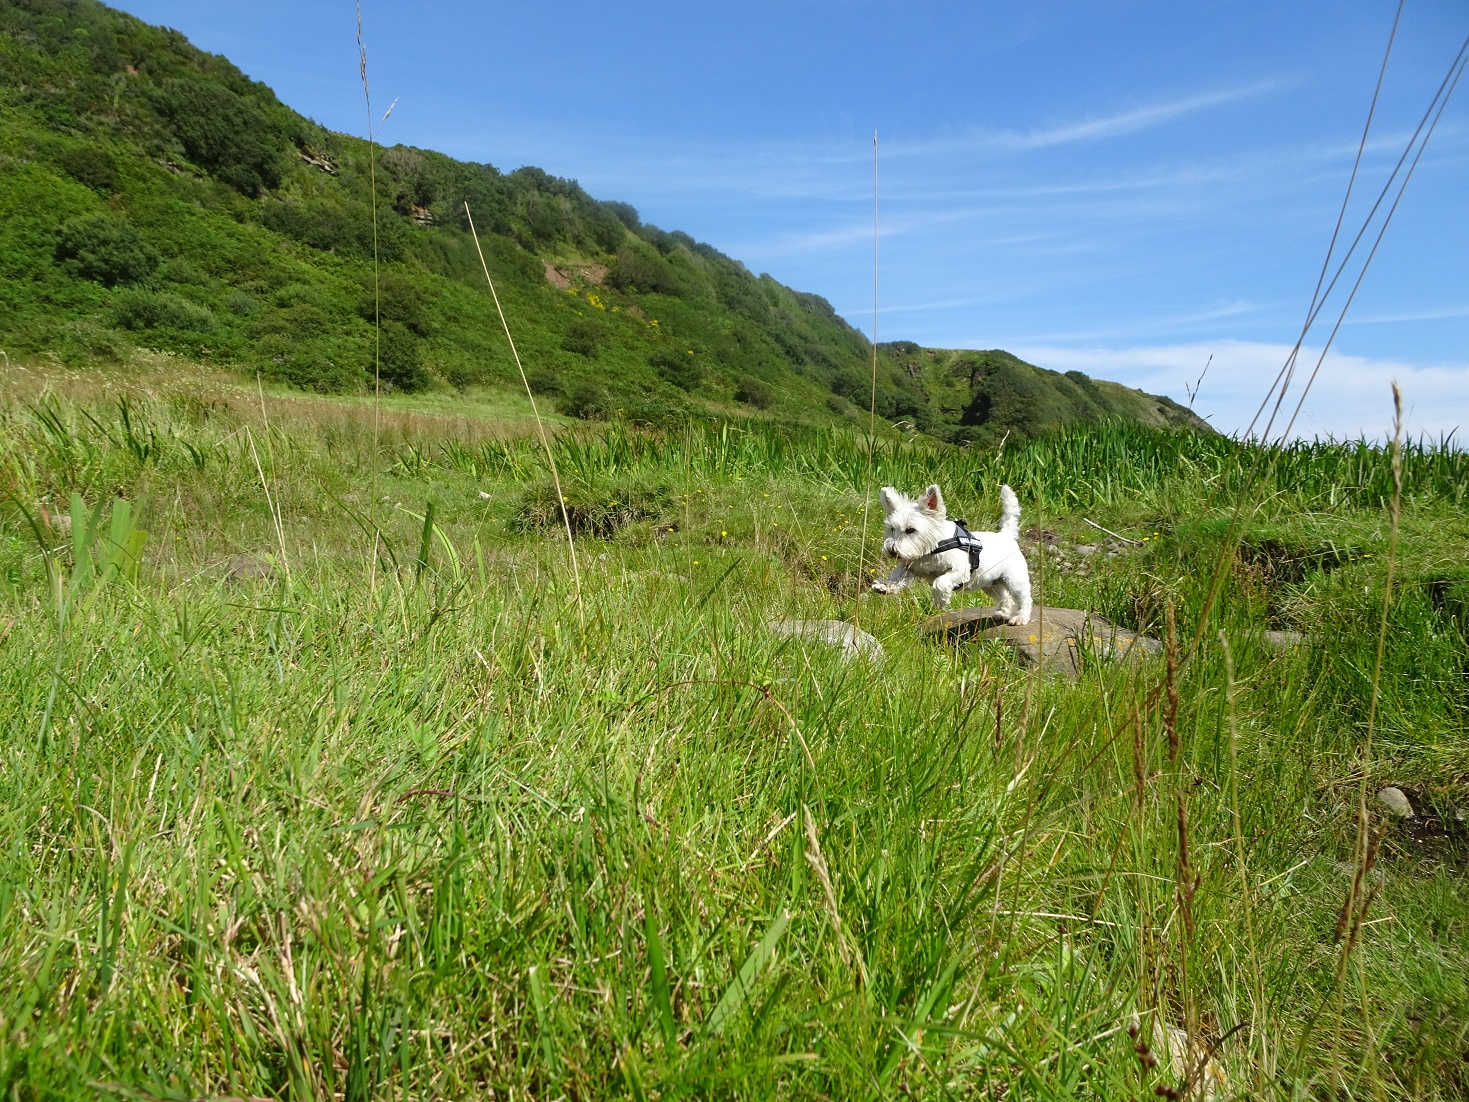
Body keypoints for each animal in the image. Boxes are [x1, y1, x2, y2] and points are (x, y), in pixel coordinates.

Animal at [869, 481, 1034, 622]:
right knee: (1005, 597)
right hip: (990, 583)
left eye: (910, 530)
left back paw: (1020, 618)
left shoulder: (960, 570)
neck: (932, 549)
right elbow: (896, 577)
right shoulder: (910, 568)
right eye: (892, 528)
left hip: (1014, 579)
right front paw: (884, 586)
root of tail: (1007, 535)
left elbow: (940, 581)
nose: (891, 550)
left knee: (1024, 598)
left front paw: (940, 600)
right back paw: (1002, 613)